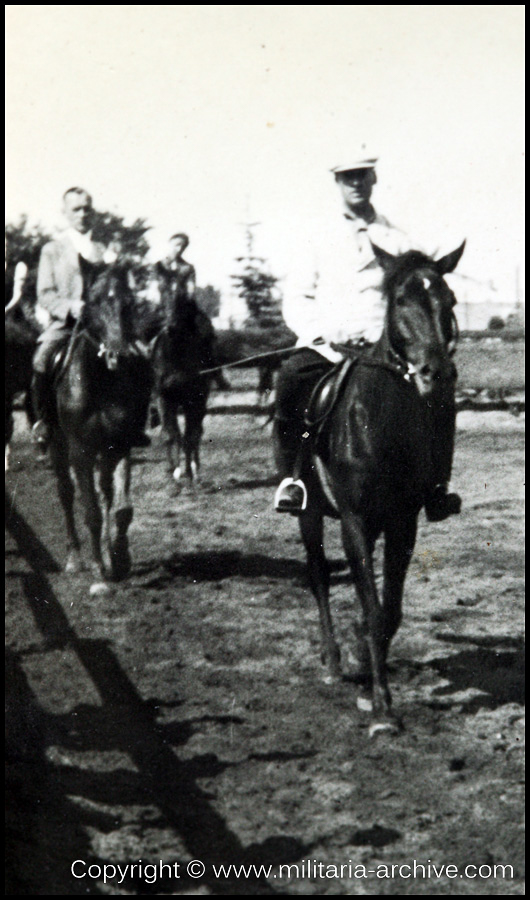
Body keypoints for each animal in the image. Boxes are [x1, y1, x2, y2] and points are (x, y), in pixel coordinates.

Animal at [49, 264, 152, 580]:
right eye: (92, 303)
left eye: (129, 303)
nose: (118, 354)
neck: (101, 382)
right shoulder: (80, 452)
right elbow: (91, 510)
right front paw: (97, 565)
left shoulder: (120, 444)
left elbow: (121, 508)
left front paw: (118, 557)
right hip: (58, 447)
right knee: (66, 494)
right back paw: (75, 557)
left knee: (105, 491)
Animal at [150, 298, 213, 482]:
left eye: (210, 337)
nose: (170, 327)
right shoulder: (164, 399)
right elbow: (170, 435)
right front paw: (175, 472)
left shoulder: (195, 401)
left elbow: (191, 436)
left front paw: (191, 472)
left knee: (195, 434)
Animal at [272, 241, 462, 740]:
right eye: (400, 301)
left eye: (449, 301)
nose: (437, 375)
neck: (380, 421)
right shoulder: (353, 522)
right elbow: (374, 608)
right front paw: (382, 709)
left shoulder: (402, 522)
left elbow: (387, 610)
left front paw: (366, 659)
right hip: (309, 515)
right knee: (318, 577)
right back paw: (332, 660)